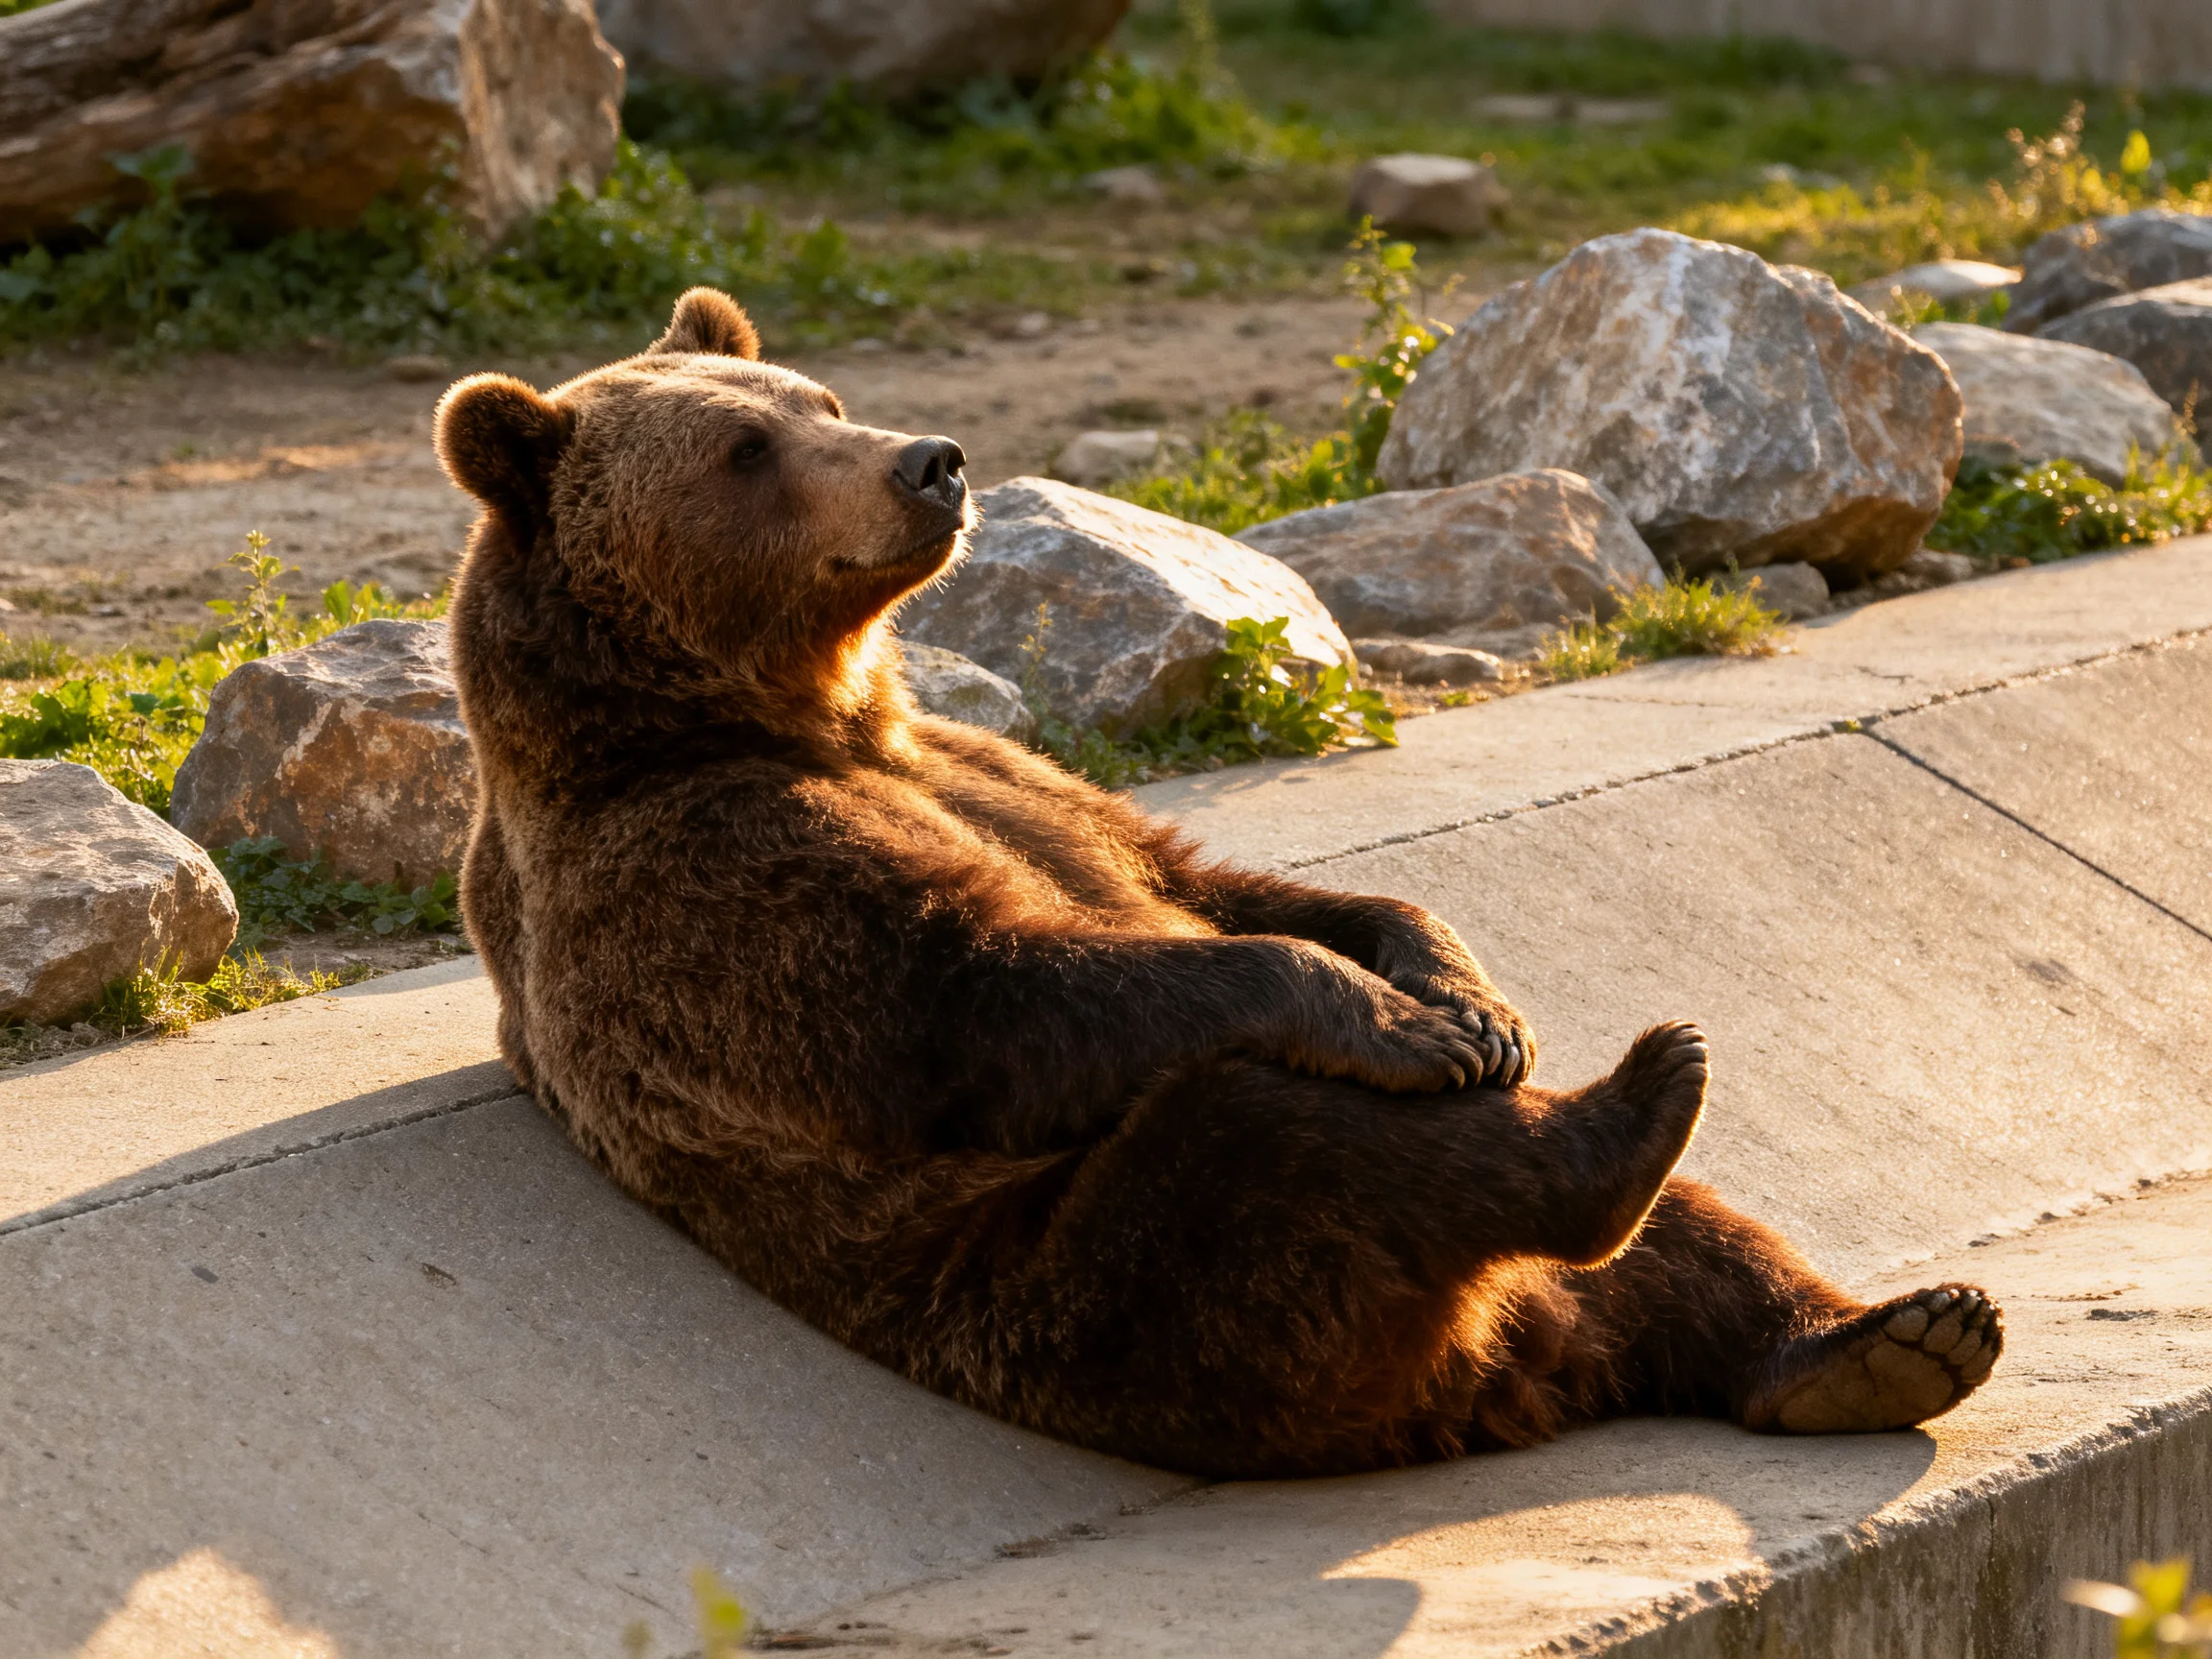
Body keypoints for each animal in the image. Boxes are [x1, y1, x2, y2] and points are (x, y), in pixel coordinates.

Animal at [431, 287, 2003, 1478]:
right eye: (746, 446)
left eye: (818, 397)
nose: (930, 461)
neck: (788, 713)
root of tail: (1510, 1367)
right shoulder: (706, 873)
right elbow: (983, 991)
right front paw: (1413, 1026)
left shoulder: (999, 766)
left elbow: (1217, 879)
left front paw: (1467, 994)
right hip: (1133, 1292)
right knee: (1283, 1144)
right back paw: (1638, 1102)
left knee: (1702, 1244)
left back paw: (1888, 1338)